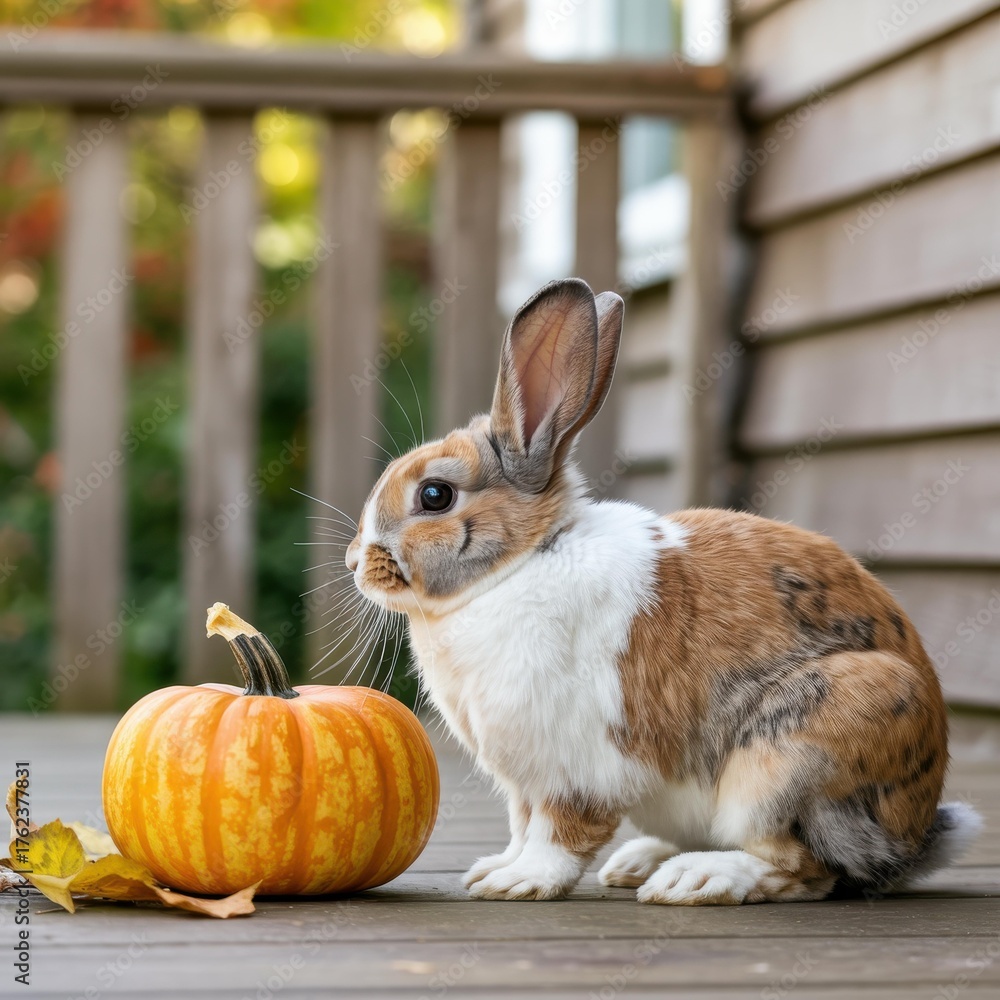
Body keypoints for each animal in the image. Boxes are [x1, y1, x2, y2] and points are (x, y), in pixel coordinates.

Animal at [345, 277, 982, 904]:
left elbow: (557, 834)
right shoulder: (524, 782)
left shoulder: (574, 771)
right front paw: (494, 869)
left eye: (434, 496)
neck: (521, 563)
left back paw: (693, 879)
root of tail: (911, 837)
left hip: (786, 761)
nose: (355, 563)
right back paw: (639, 862)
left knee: (802, 868)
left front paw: (519, 882)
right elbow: (522, 827)